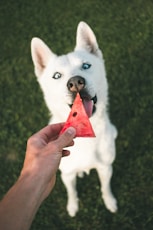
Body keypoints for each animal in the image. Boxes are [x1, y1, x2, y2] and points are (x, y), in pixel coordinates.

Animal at [30, 20, 117, 217]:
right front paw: (72, 207)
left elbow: (105, 188)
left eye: (86, 66)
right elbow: (72, 192)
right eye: (56, 75)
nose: (76, 82)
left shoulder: (105, 168)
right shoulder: (67, 175)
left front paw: (110, 202)